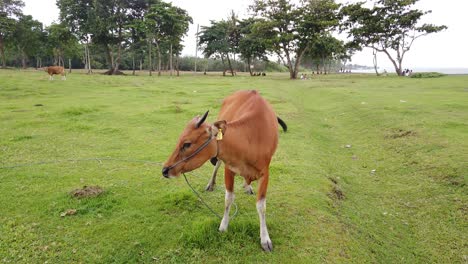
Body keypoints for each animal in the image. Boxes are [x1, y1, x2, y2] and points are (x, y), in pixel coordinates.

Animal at [163, 89, 288, 252]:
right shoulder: (229, 168)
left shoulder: (265, 173)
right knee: (217, 165)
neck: (251, 138)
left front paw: (265, 238)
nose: (165, 170)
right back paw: (211, 184)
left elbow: (261, 206)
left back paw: (247, 186)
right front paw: (223, 226)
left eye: (187, 144)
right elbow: (228, 199)